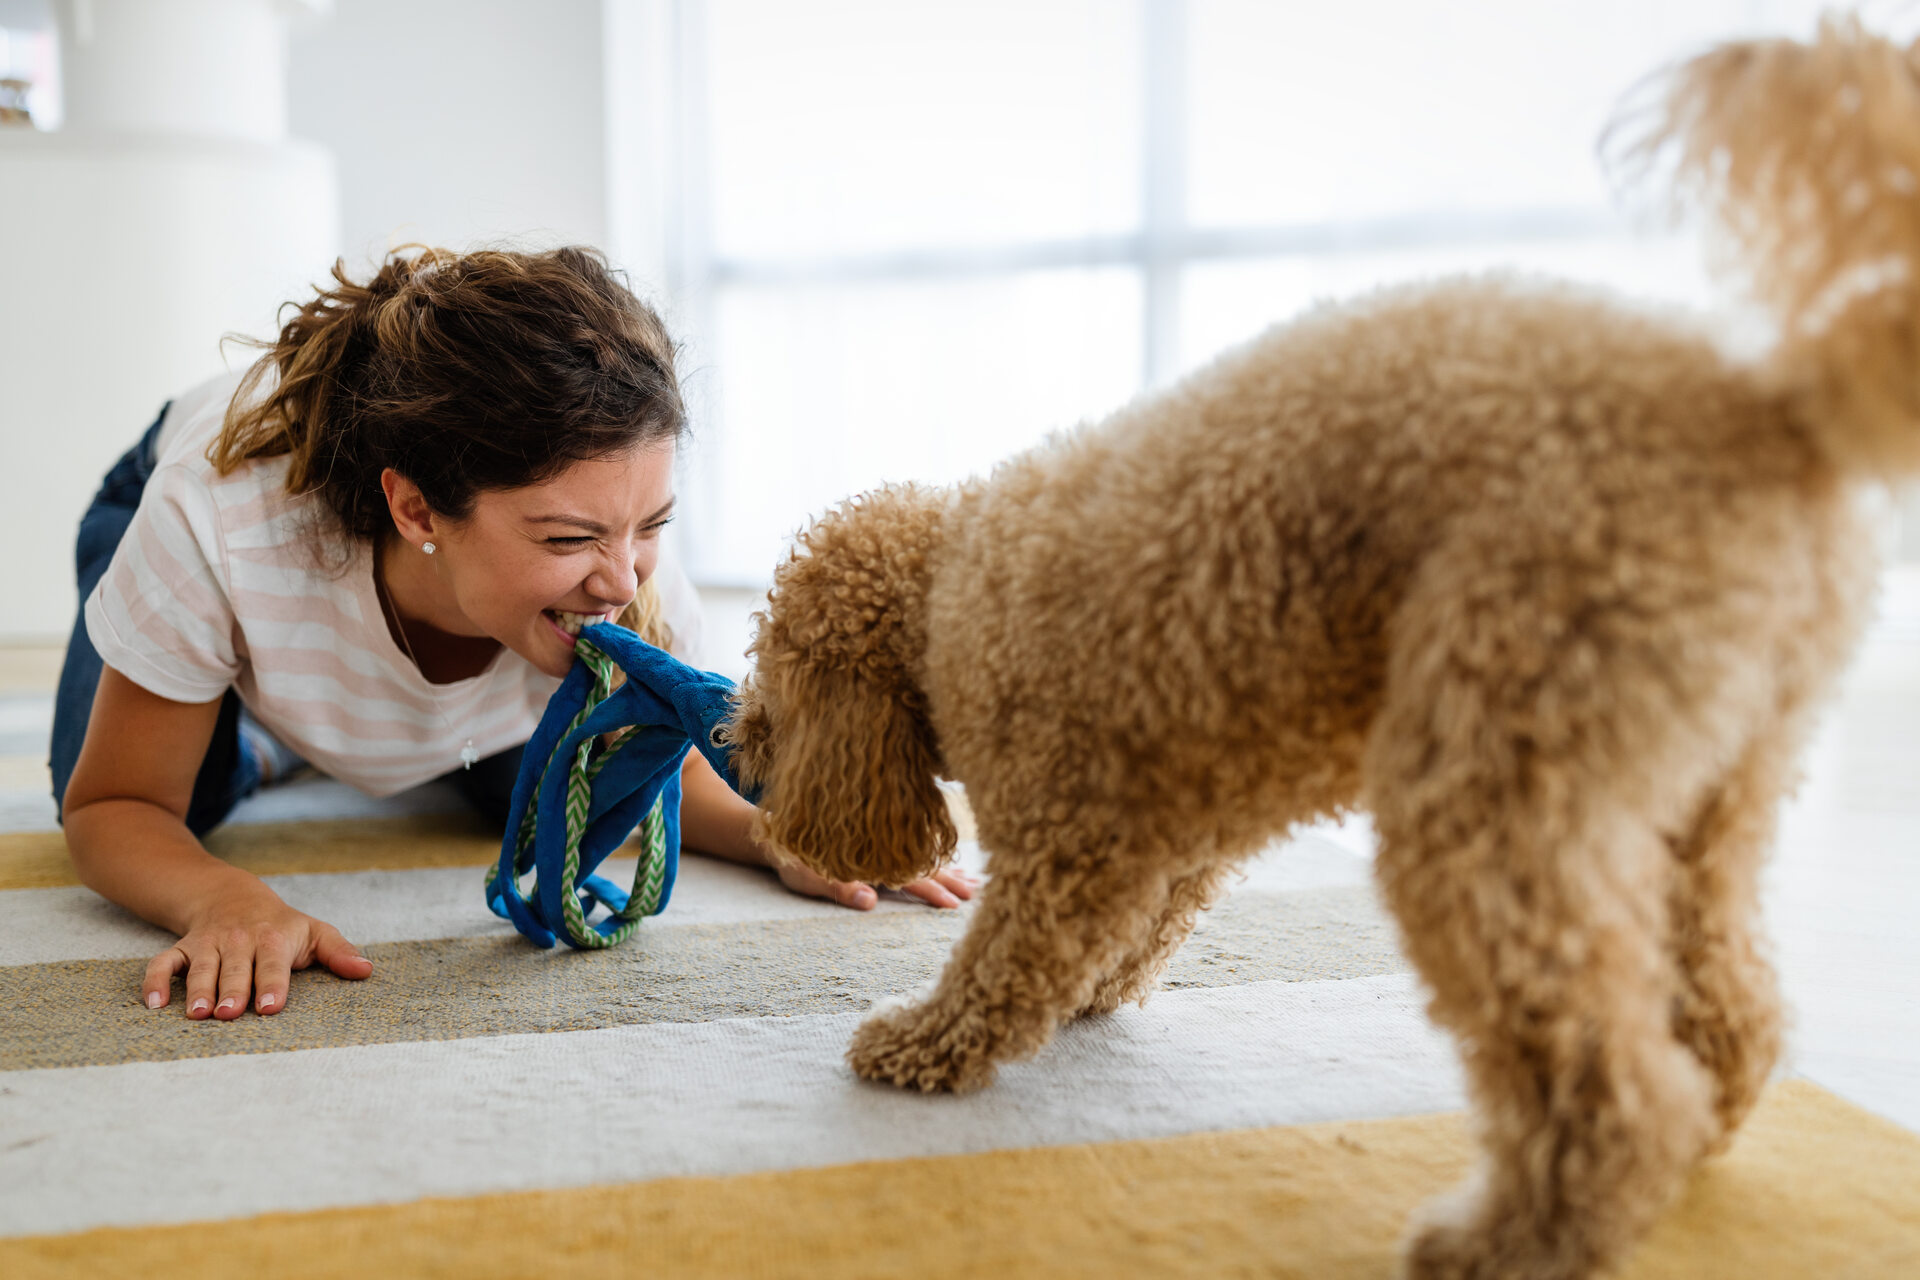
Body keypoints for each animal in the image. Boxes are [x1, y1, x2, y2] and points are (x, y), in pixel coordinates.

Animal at [721, 20, 1920, 1280]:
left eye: (777, 677)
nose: (732, 737)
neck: (949, 587)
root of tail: (1773, 413)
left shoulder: (1066, 832)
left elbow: (1008, 960)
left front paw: (923, 1042)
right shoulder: (1171, 823)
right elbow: (1135, 934)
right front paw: (1092, 994)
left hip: (1492, 774)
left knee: (1609, 1068)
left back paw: (1518, 1232)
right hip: (1708, 790)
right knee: (1728, 1003)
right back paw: (1691, 1138)